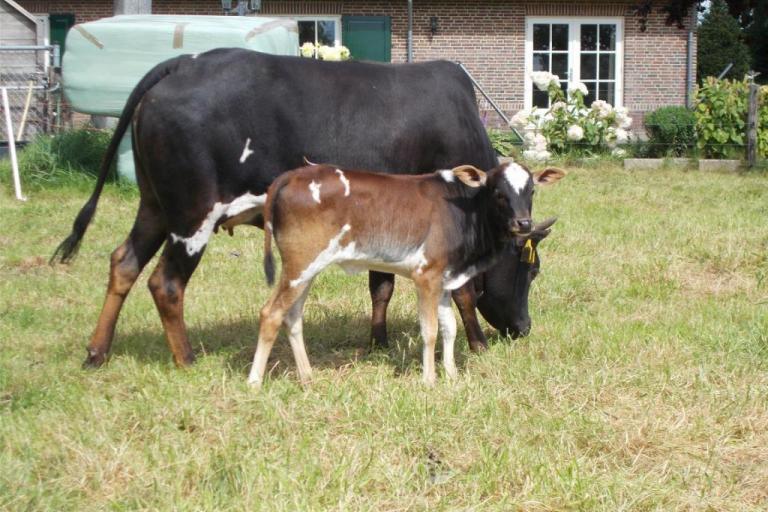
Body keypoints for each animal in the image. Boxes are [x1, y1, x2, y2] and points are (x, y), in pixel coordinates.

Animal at [52, 49, 544, 368]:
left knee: (124, 262)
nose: (523, 327)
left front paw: (378, 341)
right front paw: (477, 345)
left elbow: (381, 286)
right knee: (166, 283)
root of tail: (185, 61)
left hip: (156, 205)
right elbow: (461, 292)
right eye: (532, 269)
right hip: (193, 215)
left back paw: (97, 352)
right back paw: (187, 358)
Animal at [248, 162, 564, 386]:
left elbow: (449, 328)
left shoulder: (445, 280)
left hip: (306, 270)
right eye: (498, 192)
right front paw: (429, 379)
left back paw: (307, 376)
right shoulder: (426, 276)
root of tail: (293, 175)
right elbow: (430, 330)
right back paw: (254, 381)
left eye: (531, 191)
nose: (523, 223)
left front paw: (451, 374)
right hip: (299, 265)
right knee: (270, 314)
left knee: (292, 317)